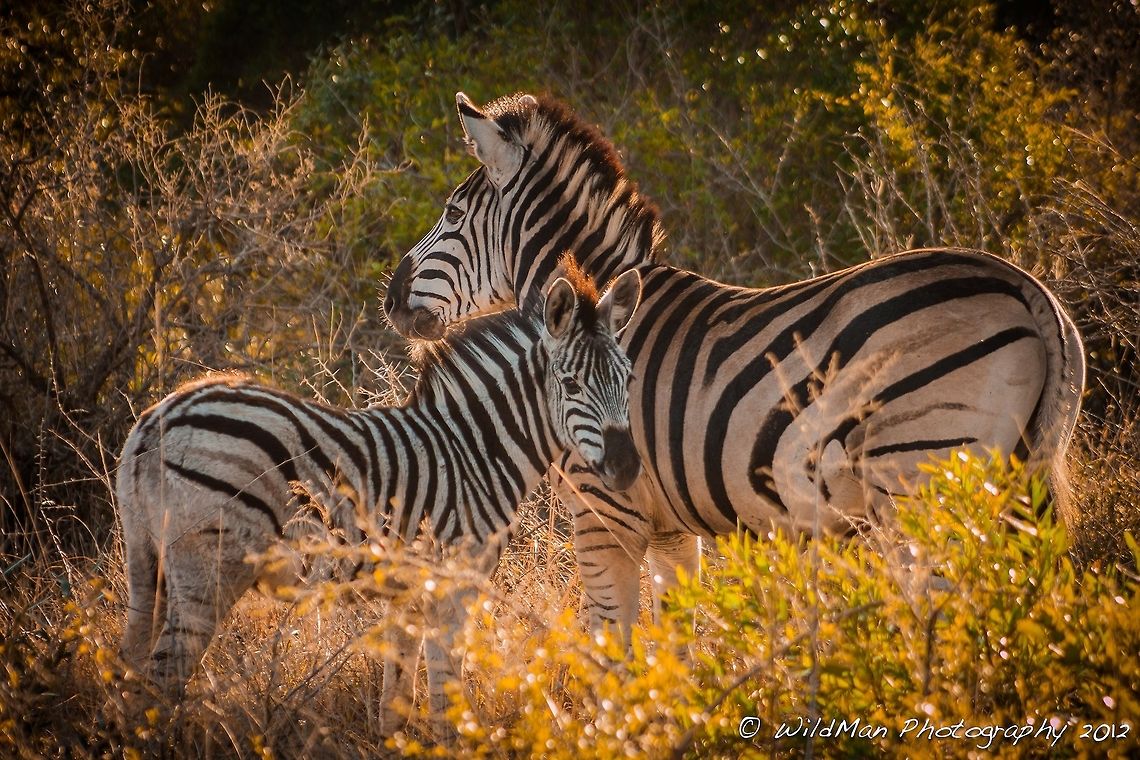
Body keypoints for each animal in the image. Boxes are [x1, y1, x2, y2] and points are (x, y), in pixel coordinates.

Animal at [115, 265, 642, 727]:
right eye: (571, 384)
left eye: (629, 378)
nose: (627, 467)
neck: (475, 449)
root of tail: (155, 419)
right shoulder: (451, 586)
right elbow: (445, 701)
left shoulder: (407, 594)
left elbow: (396, 702)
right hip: (206, 571)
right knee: (162, 682)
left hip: (145, 561)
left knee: (130, 672)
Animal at [383, 92, 1085, 639]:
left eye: (450, 215)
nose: (390, 298)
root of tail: (1028, 289)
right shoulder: (669, 526)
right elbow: (674, 635)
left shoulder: (604, 511)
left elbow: (609, 635)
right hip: (1017, 479)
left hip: (921, 480)